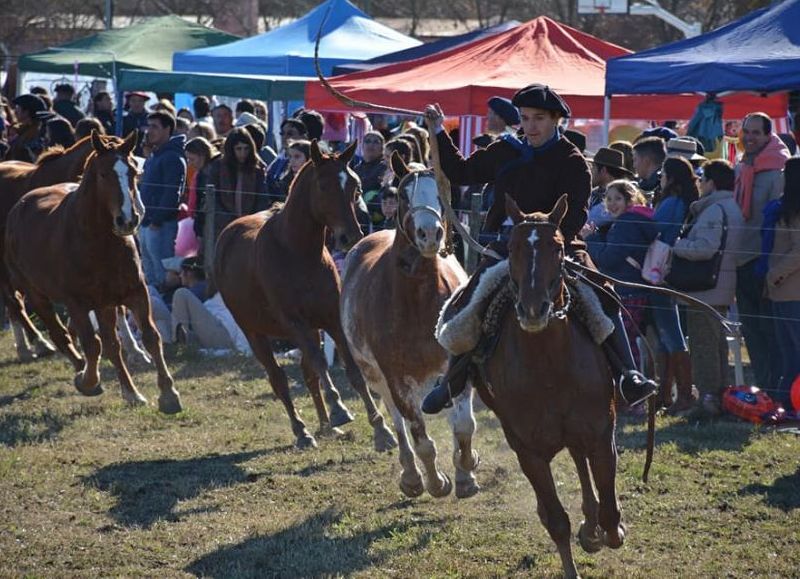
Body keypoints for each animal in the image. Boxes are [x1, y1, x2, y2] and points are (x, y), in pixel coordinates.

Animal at [214, 139, 396, 448]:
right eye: (323, 186)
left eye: (355, 186)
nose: (350, 236)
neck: (297, 252)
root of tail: (228, 233)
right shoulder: (294, 323)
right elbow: (319, 363)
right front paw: (339, 409)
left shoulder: (332, 320)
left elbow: (352, 373)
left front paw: (381, 429)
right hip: (255, 332)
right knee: (279, 378)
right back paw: (303, 431)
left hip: (311, 328)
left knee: (308, 374)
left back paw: (325, 425)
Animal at [340, 154, 478, 498]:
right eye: (403, 195)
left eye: (442, 193)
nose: (430, 233)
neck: (417, 299)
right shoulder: (396, 378)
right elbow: (420, 438)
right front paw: (435, 482)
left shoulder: (457, 366)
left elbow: (464, 425)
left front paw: (466, 471)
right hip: (375, 375)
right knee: (398, 422)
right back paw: (412, 476)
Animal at [482, 195, 624, 579]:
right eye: (512, 247)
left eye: (558, 247)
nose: (533, 310)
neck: (549, 365)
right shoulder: (528, 451)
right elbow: (557, 521)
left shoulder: (601, 433)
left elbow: (610, 511)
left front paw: (605, 529)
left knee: (580, 460)